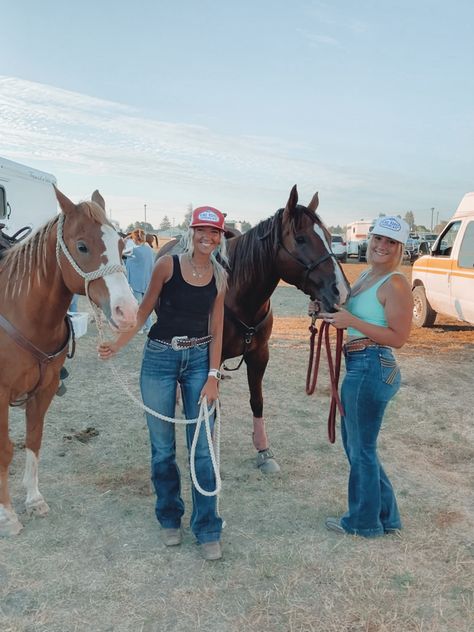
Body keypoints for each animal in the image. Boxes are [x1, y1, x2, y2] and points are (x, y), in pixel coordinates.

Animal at [0, 185, 137, 536]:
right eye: (82, 246)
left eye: (122, 246)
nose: (128, 312)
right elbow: (5, 449)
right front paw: (7, 515)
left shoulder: (44, 389)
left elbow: (33, 440)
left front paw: (33, 499)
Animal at [157, 185, 350, 472]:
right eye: (301, 239)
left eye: (328, 237)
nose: (340, 291)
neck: (239, 295)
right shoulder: (213, 356)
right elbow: (213, 404)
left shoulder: (259, 355)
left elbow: (256, 400)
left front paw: (263, 449)